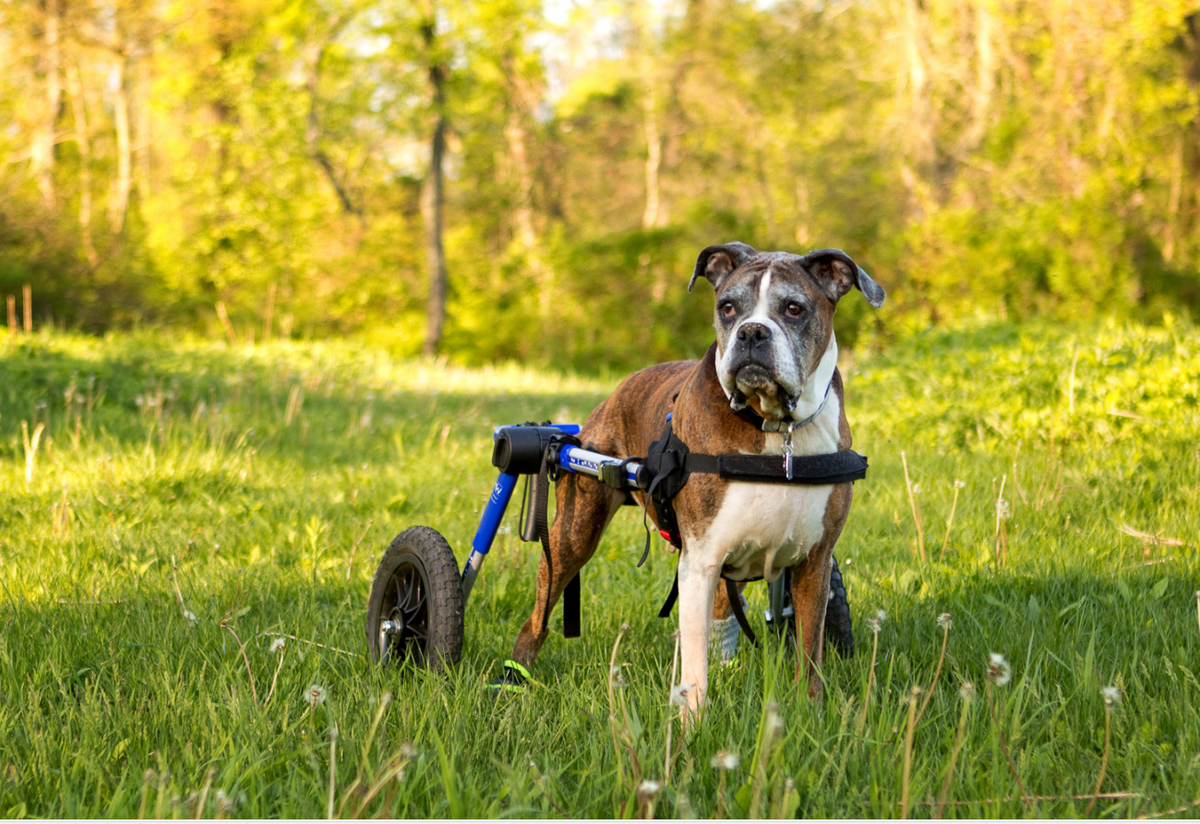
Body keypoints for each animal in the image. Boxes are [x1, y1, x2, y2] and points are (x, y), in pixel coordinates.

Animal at [504, 242, 883, 719]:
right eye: (728, 308)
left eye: (794, 309)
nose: (752, 333)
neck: (777, 429)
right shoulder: (700, 561)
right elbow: (695, 660)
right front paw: (692, 721)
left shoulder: (814, 562)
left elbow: (809, 648)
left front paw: (810, 711)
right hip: (574, 533)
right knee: (539, 614)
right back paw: (513, 678)